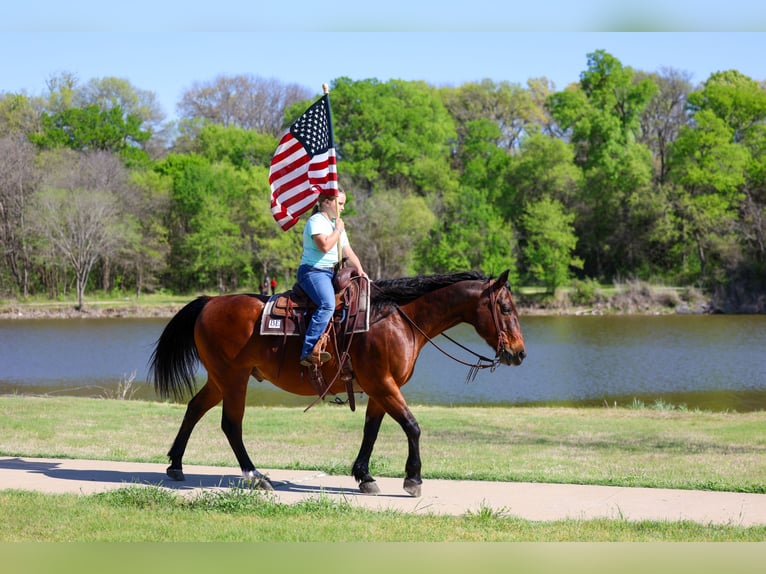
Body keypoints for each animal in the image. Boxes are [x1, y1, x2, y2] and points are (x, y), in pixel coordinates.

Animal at [148, 269, 526, 497]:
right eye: (506, 308)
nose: (519, 353)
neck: (399, 321)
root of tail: (210, 302)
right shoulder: (383, 383)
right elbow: (412, 426)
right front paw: (413, 479)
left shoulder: (378, 388)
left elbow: (371, 431)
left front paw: (365, 476)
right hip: (233, 378)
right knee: (231, 424)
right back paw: (256, 476)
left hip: (220, 379)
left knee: (195, 408)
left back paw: (176, 465)